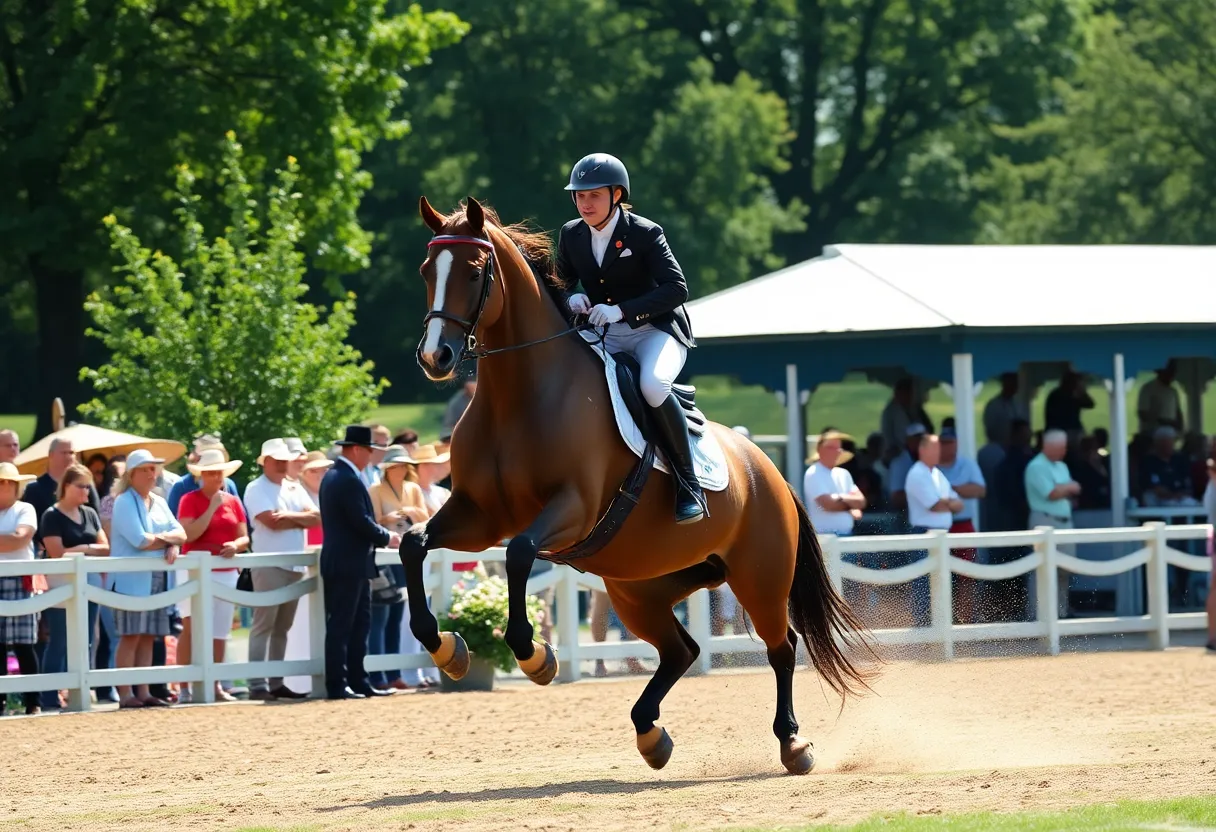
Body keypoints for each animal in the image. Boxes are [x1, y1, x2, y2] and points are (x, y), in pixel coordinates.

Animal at [397, 195, 876, 775]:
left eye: (472, 271)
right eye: (427, 271)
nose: (435, 358)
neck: (520, 397)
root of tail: (772, 473)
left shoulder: (571, 509)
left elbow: (518, 553)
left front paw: (534, 656)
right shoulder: (478, 514)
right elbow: (414, 543)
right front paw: (448, 649)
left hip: (758, 577)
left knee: (781, 647)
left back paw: (792, 744)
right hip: (639, 588)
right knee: (681, 650)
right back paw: (651, 734)